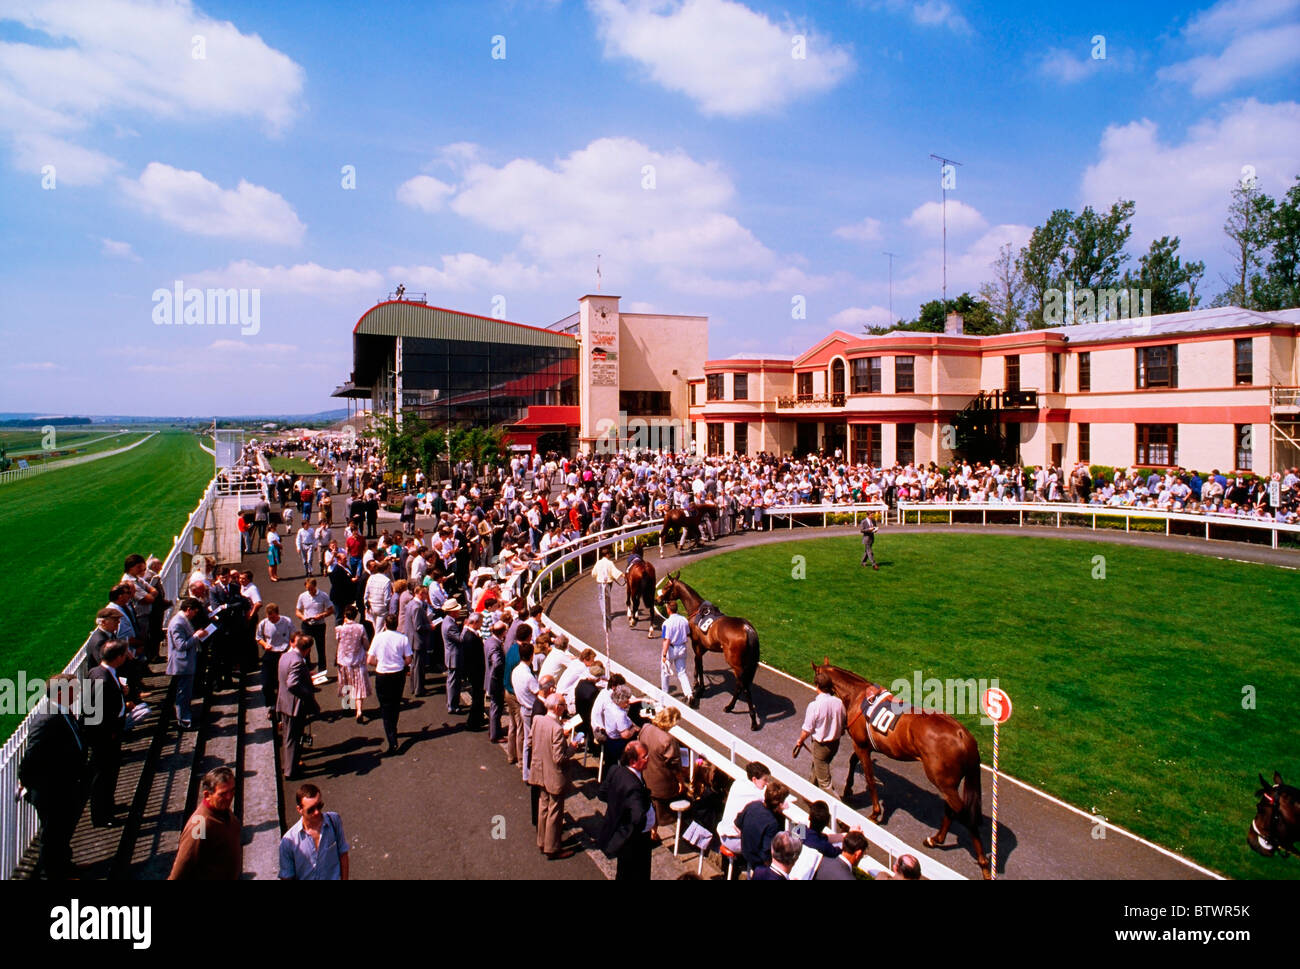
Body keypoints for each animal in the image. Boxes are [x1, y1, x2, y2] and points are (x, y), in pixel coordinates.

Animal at [655, 574, 759, 728]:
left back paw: (745, 716)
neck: (696, 609)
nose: (657, 599)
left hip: (737, 665)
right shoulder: (703, 647)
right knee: (742, 686)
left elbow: (700, 665)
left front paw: (700, 689)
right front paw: (696, 684)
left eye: (667, 586)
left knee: (743, 687)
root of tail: (748, 629)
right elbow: (697, 664)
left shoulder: (696, 645)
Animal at [816, 658, 987, 879]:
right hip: (948, 782)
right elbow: (854, 762)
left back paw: (983, 863)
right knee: (952, 809)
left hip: (942, 780)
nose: (817, 693)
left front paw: (875, 813)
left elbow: (869, 777)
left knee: (964, 813)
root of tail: (963, 735)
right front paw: (848, 789)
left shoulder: (861, 745)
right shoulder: (865, 745)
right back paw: (935, 839)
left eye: (815, 678)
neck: (858, 695)